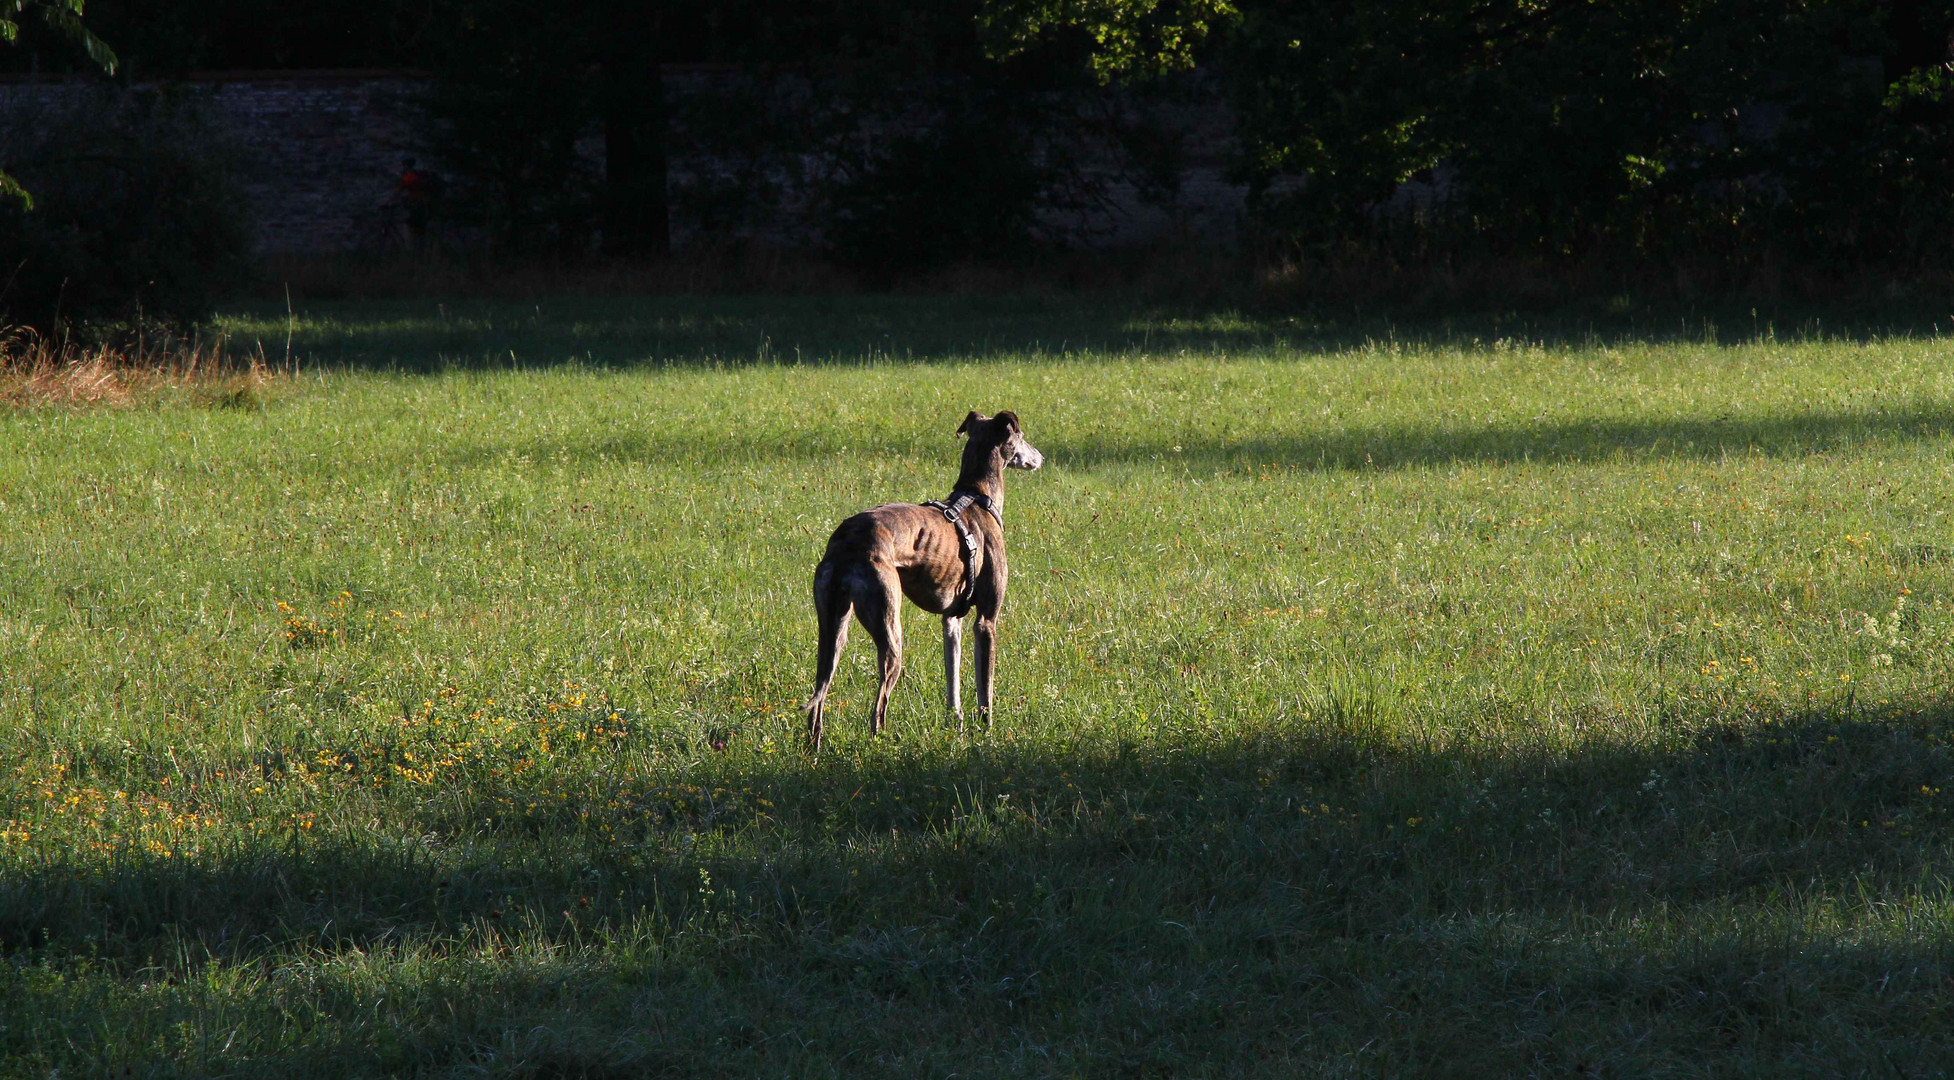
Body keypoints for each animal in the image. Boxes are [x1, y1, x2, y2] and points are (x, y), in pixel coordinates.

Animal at [805, 410, 1047, 749]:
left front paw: (956, 727)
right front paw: (986, 733)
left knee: (820, 695)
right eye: (1021, 436)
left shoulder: (952, 620)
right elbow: (985, 690)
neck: (977, 496)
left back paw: (813, 749)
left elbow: (953, 683)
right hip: (889, 629)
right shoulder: (986, 621)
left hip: (832, 630)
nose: (1040, 457)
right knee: (878, 707)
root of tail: (846, 542)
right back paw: (881, 744)